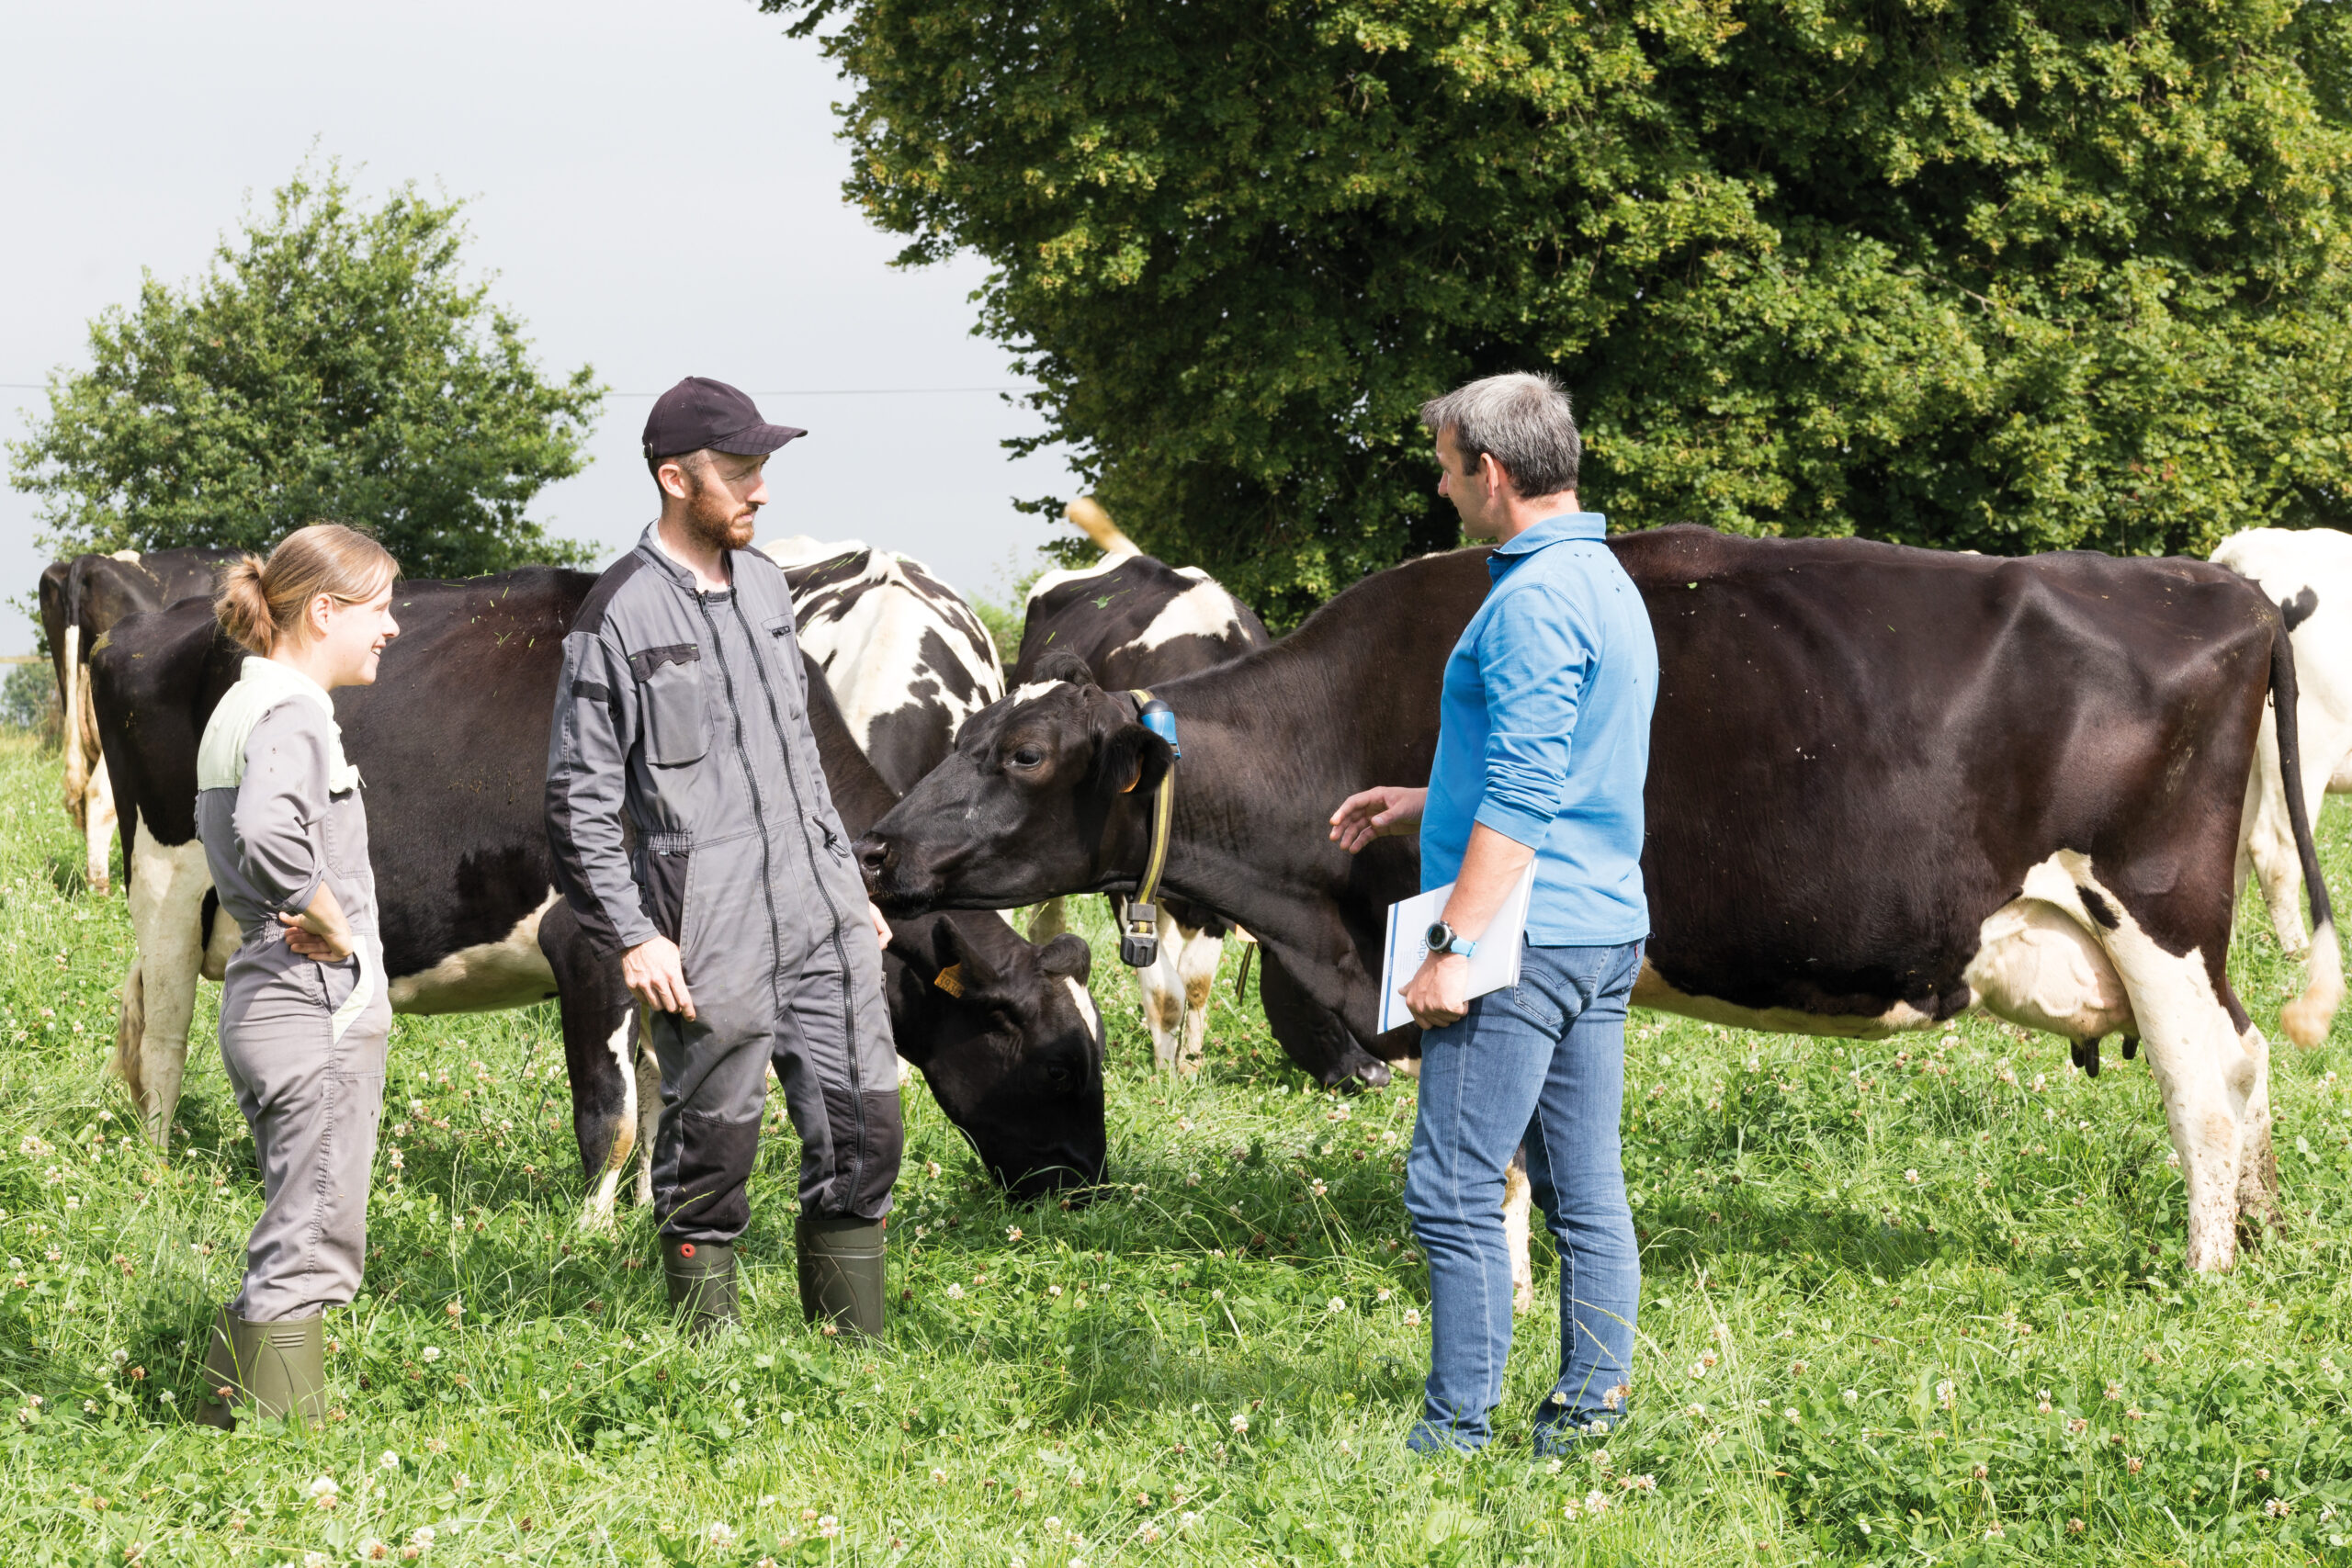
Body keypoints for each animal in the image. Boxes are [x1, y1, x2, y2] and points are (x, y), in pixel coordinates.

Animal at [91, 570, 1110, 1222]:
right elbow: (609, 1115)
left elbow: (665, 1099)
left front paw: (656, 1210)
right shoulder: (589, 944)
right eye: (1059, 1066)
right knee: (166, 1036)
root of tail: (150, 626)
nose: (1090, 1190)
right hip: (169, 874)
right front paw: (589, 1233)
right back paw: (158, 1169)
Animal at [860, 526, 2333, 1279]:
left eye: (1023, 755)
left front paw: (1496, 1287)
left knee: (2205, 1082)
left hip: (2153, 910)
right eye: (972, 731)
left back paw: (2205, 1268)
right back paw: (2260, 1238)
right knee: (2250, 1060)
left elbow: (1495, 1140)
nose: (876, 847)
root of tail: (2230, 589)